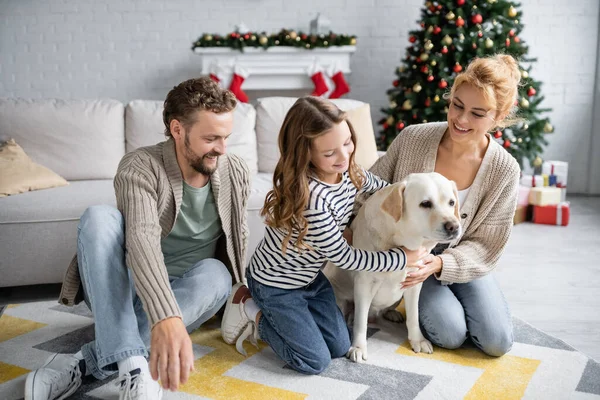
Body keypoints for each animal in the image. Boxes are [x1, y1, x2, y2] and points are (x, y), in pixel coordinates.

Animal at [324, 172, 460, 362]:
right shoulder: (364, 284)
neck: (401, 242)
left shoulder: (414, 283)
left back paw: (392, 314)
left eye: (451, 202)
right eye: (425, 203)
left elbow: (413, 316)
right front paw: (358, 347)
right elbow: (360, 321)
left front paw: (417, 340)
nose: (454, 226)